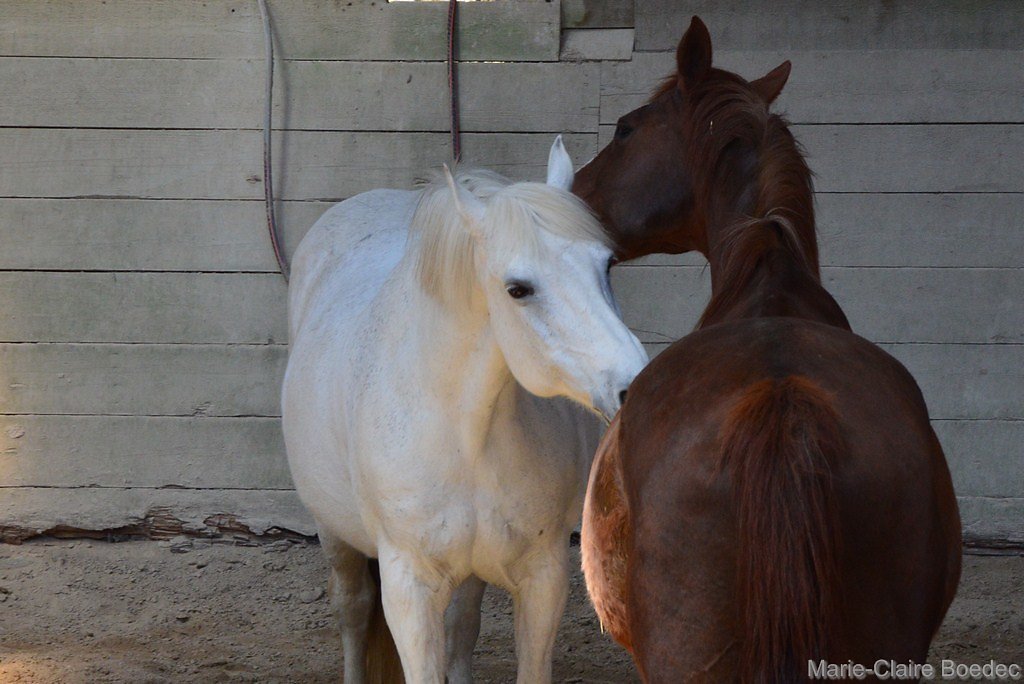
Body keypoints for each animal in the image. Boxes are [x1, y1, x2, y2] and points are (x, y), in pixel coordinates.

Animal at [282, 136, 648, 684]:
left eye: (605, 265)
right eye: (518, 289)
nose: (634, 385)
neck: (466, 433)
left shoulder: (543, 577)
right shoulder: (409, 588)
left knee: (461, 625)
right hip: (335, 534)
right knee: (352, 610)